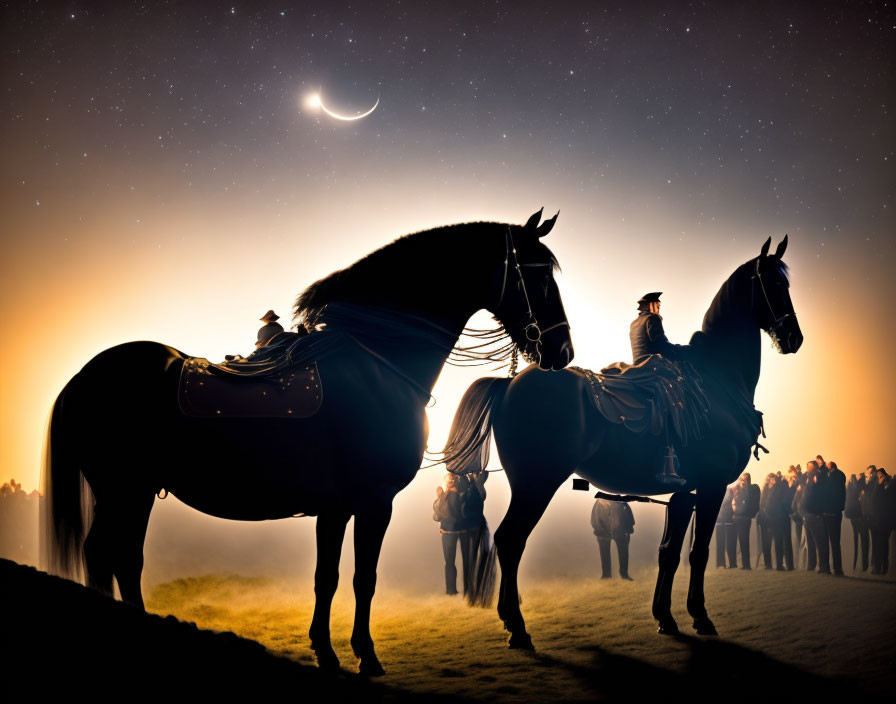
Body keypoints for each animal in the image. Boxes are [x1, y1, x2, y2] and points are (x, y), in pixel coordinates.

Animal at [43, 210, 576, 676]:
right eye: (538, 277)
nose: (561, 350)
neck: (374, 360)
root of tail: (81, 378)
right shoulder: (374, 502)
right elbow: (363, 579)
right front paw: (367, 656)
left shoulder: (336, 507)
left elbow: (328, 578)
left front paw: (326, 650)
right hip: (122, 489)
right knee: (105, 554)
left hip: (133, 493)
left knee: (124, 558)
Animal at [444, 235, 800, 644]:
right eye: (775, 284)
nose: (794, 338)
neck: (718, 379)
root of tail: (509, 383)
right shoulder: (712, 487)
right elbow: (699, 552)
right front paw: (700, 616)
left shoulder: (684, 494)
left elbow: (668, 552)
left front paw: (665, 617)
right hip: (537, 484)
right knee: (510, 540)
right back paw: (516, 626)